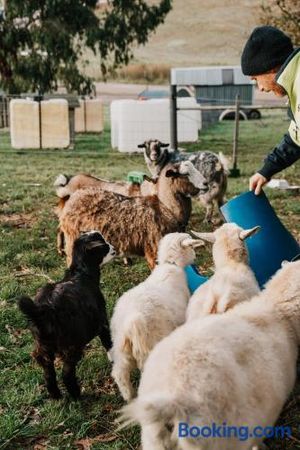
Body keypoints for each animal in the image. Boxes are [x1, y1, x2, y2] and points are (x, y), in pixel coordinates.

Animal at [17, 230, 115, 400]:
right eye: (104, 245)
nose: (114, 247)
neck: (82, 273)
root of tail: (43, 311)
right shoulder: (102, 321)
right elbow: (108, 342)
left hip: (43, 346)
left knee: (48, 372)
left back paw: (56, 395)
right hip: (71, 344)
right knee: (67, 373)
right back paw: (77, 395)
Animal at [110, 232, 204, 400]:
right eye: (191, 246)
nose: (195, 257)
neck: (170, 264)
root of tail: (131, 322)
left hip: (120, 347)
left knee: (119, 373)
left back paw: (129, 397)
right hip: (151, 344)